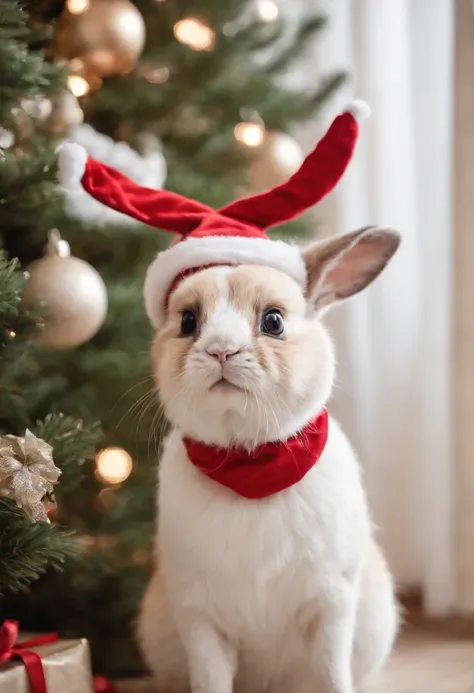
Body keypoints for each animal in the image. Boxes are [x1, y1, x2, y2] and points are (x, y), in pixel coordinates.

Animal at [137, 227, 400, 692]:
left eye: (273, 321)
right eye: (188, 321)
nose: (221, 351)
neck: (251, 460)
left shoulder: (330, 606)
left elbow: (332, 674)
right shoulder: (200, 620)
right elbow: (210, 679)